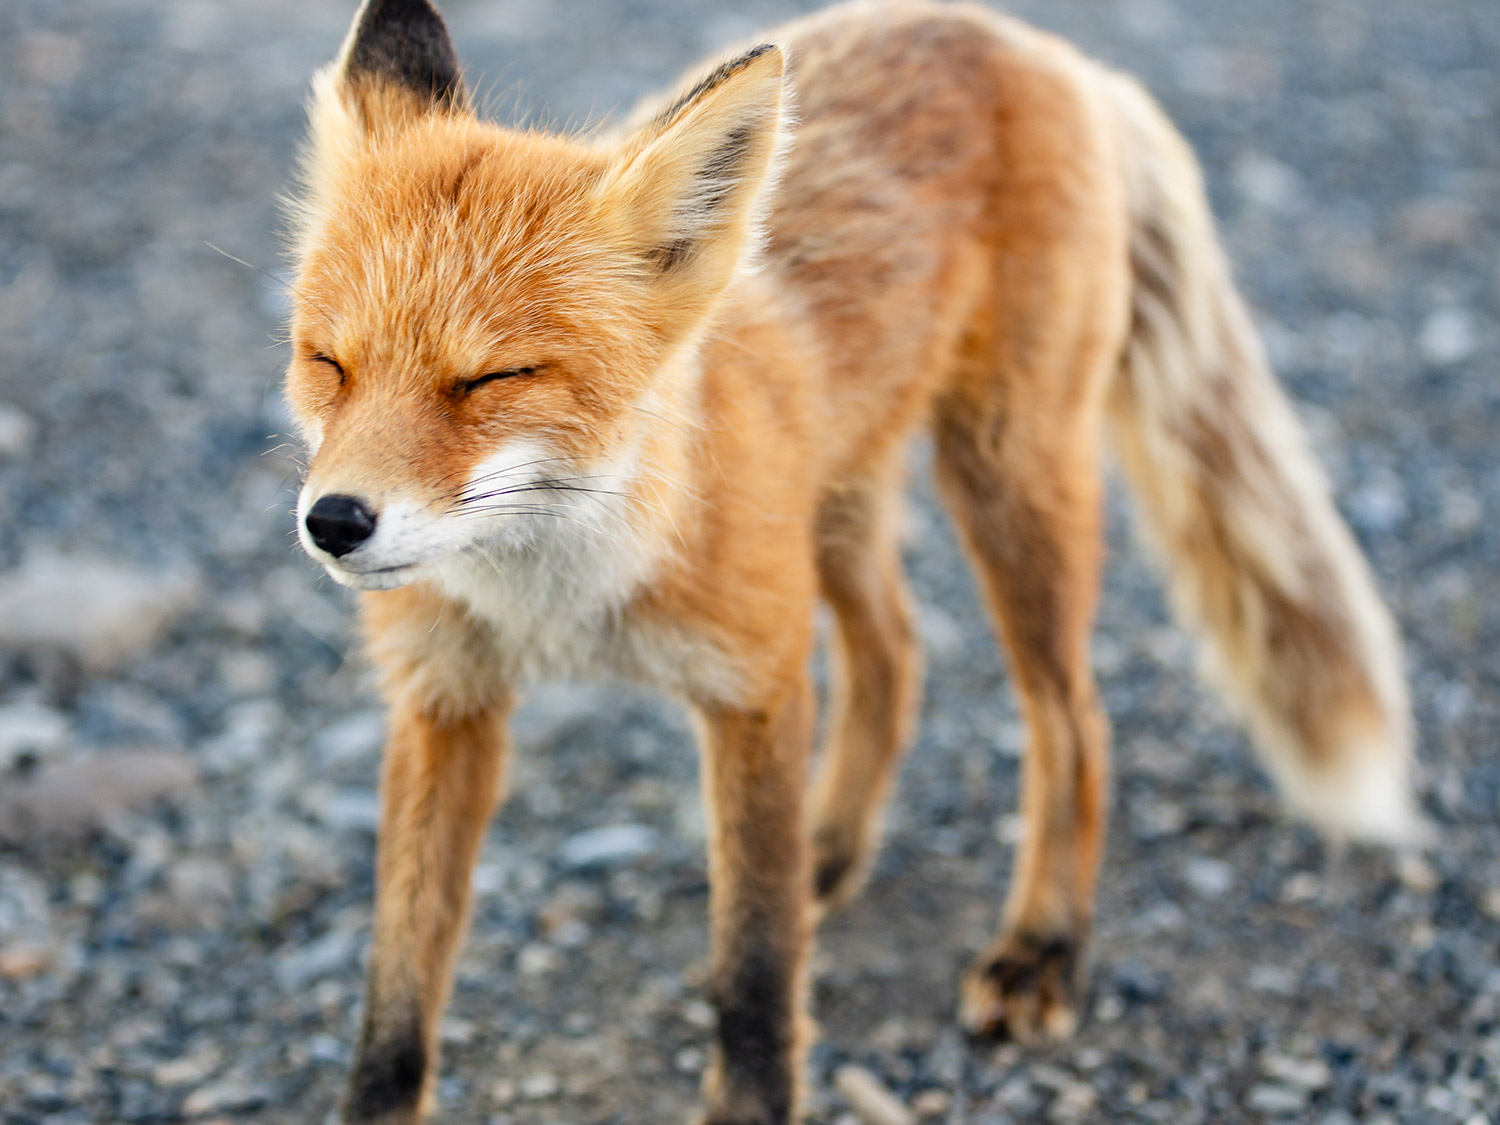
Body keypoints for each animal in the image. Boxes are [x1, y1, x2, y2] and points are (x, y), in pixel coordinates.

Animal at [282, 0, 1424, 1121]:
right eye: (329, 363)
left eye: (491, 378)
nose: (333, 522)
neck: (557, 600)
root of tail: (1026, 41)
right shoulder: (444, 703)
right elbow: (396, 999)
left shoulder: (754, 684)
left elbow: (755, 972)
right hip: (838, 507)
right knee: (898, 653)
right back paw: (829, 848)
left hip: (1007, 483)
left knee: (1074, 722)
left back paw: (1043, 943)